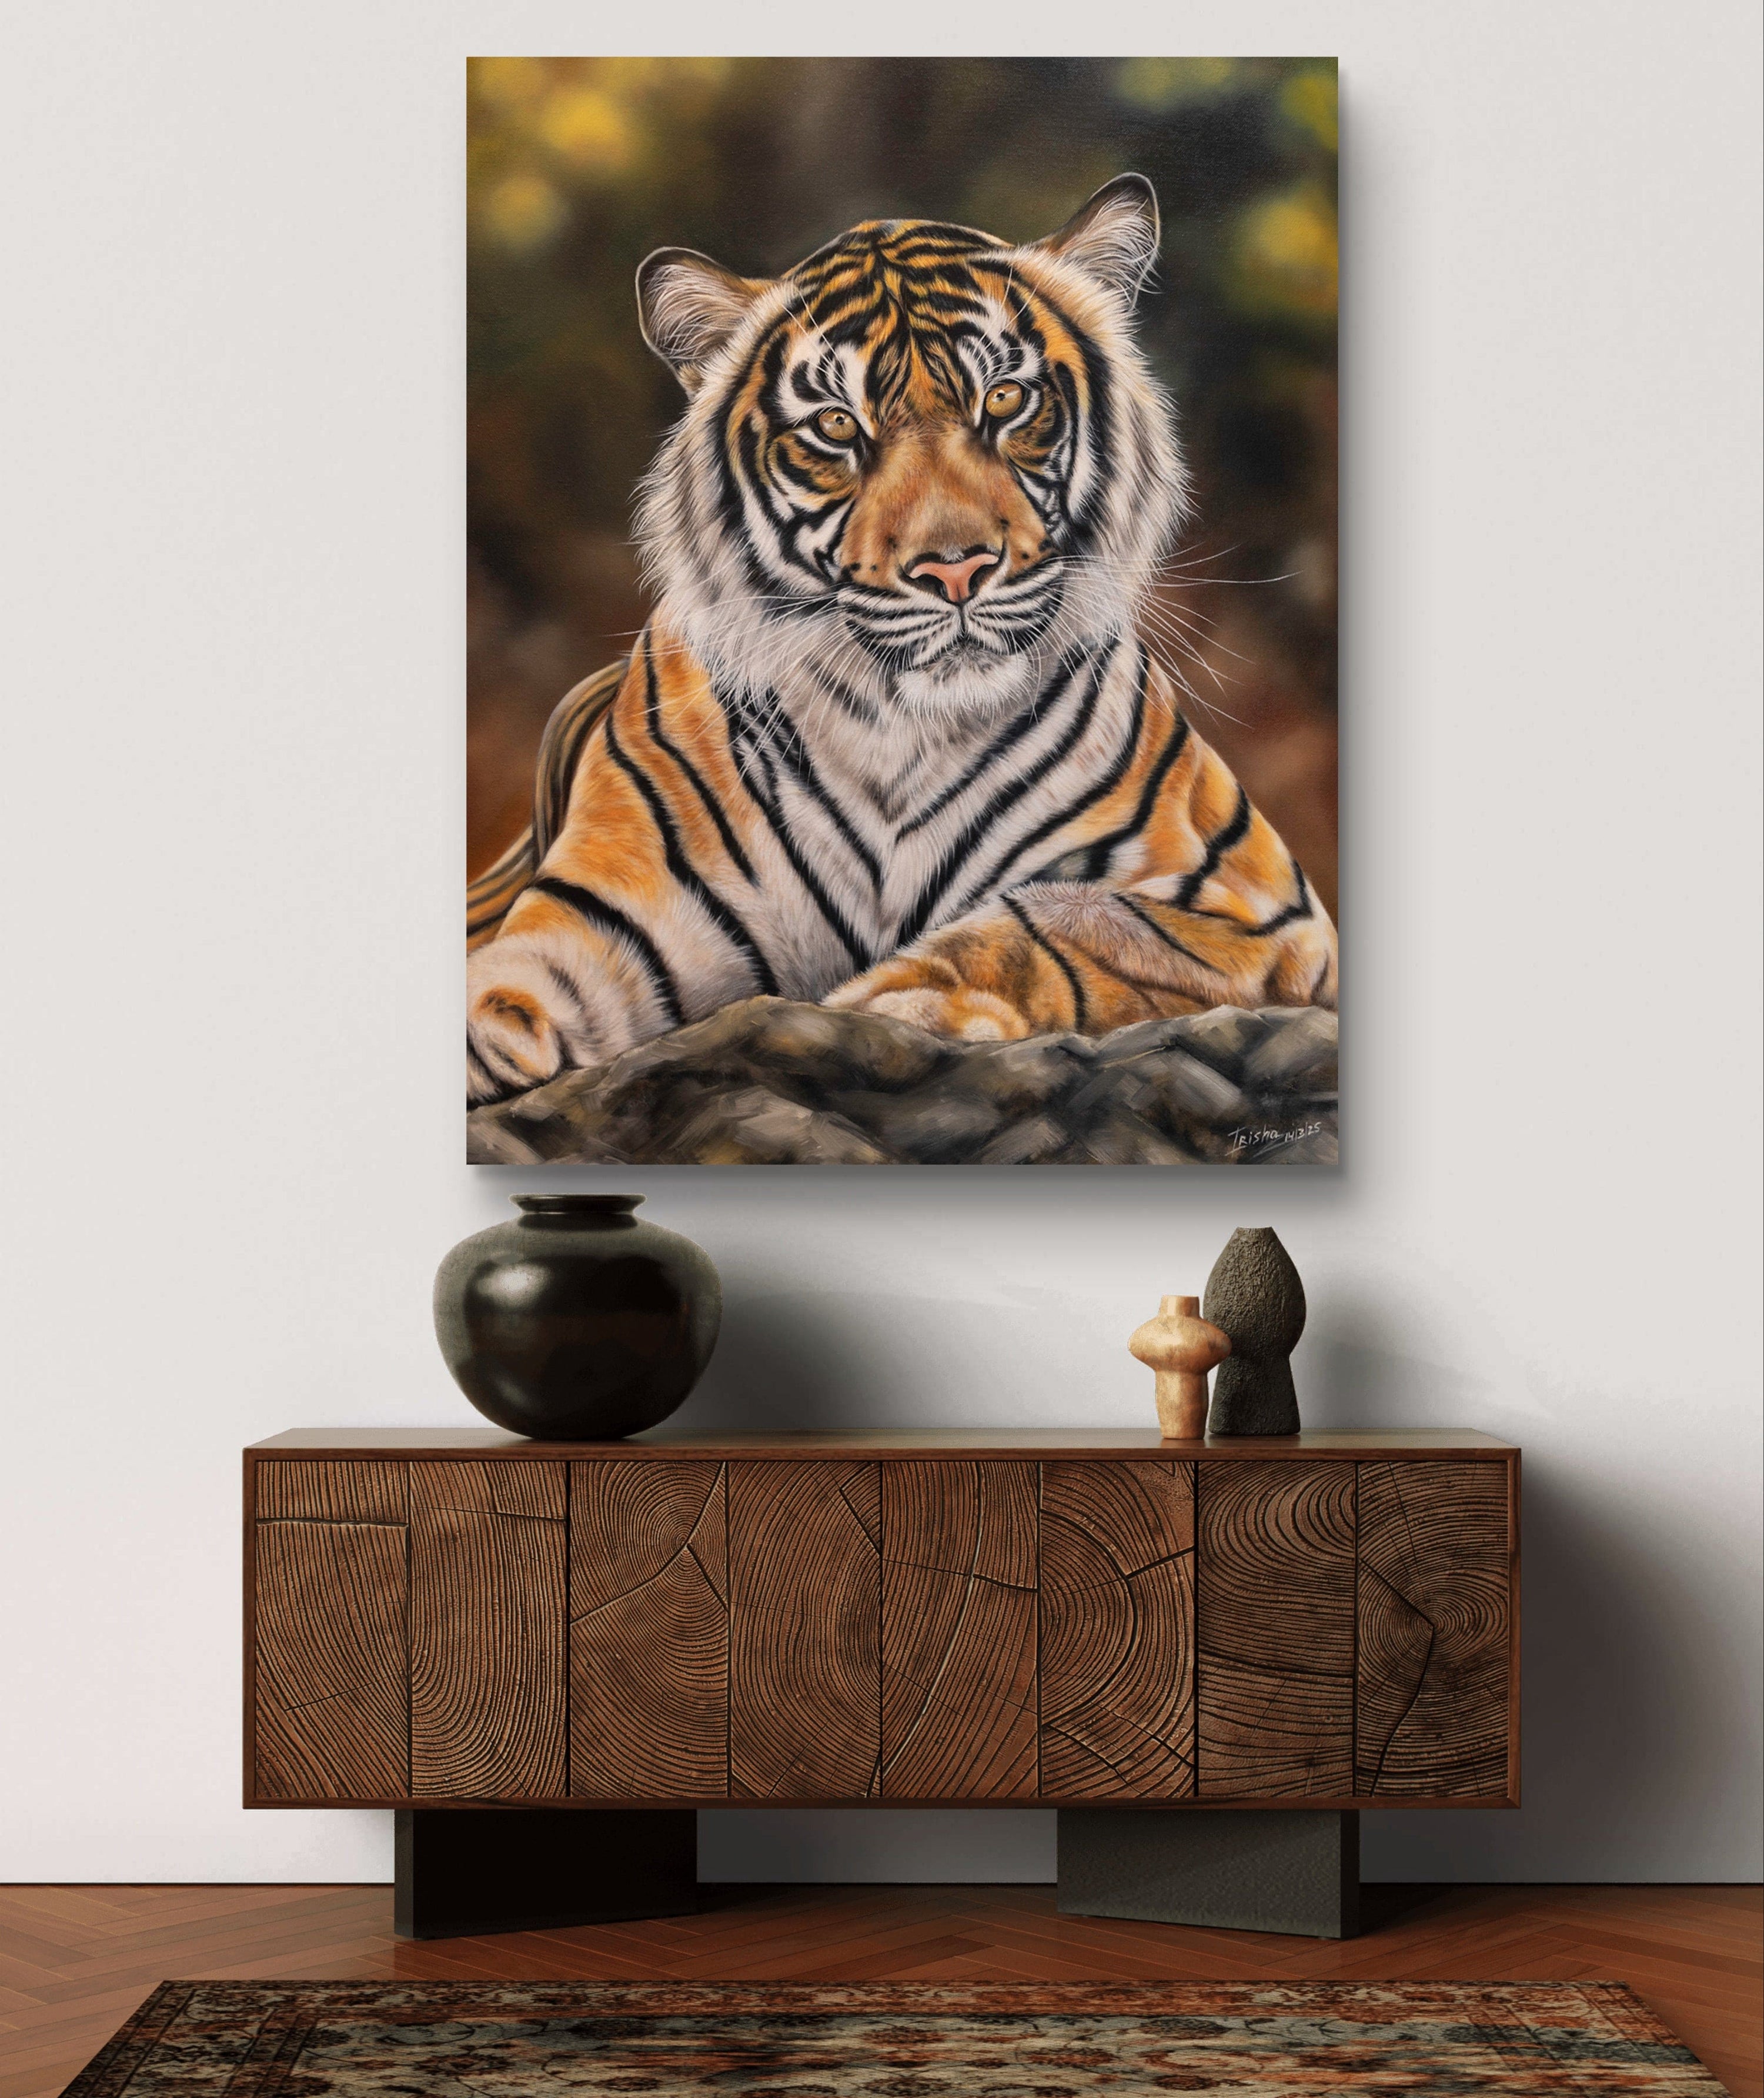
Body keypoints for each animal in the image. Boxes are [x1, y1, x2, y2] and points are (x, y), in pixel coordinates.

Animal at [466, 173, 1336, 1107]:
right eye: (837, 427)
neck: (900, 733)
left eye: (1005, 400)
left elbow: (1060, 920)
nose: (956, 571)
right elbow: (510, 979)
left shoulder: (1256, 905)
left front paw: (896, 1000)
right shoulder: (602, 910)